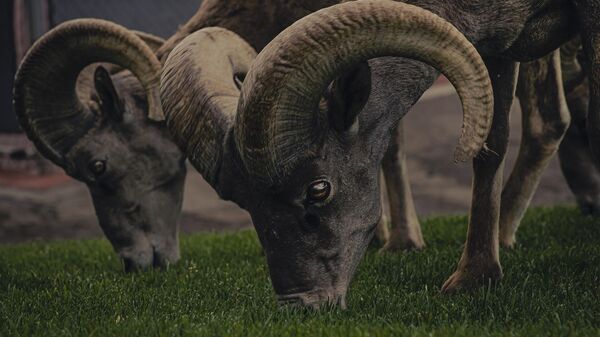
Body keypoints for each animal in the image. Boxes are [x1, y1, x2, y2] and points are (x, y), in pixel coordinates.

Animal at [161, 0, 596, 306]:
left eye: (318, 189)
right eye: (245, 203)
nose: (301, 303)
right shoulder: (499, 46)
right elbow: (491, 148)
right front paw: (474, 278)